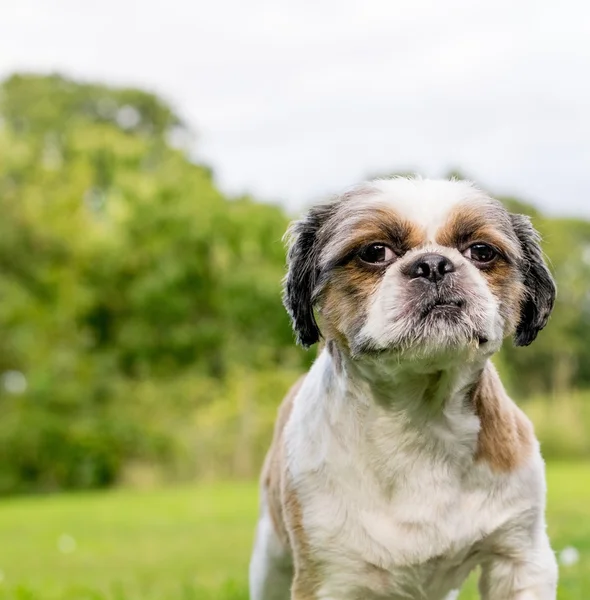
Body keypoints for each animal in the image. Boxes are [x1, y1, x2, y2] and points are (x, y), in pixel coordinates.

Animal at [250, 178, 560, 600]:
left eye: (481, 251)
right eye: (374, 252)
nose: (433, 264)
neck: (421, 420)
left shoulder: (521, 556)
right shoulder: (330, 577)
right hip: (271, 561)